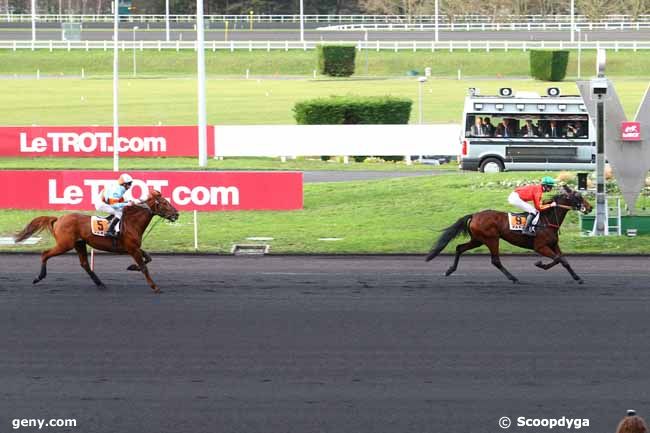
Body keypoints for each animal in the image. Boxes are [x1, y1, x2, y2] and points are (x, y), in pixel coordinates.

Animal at [15, 189, 177, 294]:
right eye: (164, 203)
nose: (176, 214)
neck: (132, 222)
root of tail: (58, 219)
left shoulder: (133, 247)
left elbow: (148, 258)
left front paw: (132, 267)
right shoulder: (132, 249)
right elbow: (144, 267)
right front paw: (155, 287)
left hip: (79, 244)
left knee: (85, 264)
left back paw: (100, 283)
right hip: (65, 244)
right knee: (45, 254)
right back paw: (38, 277)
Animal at [426, 186, 592, 284]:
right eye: (578, 196)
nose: (589, 208)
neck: (547, 220)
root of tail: (474, 215)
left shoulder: (553, 244)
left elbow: (564, 261)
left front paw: (578, 278)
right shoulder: (540, 247)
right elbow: (558, 259)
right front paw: (540, 264)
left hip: (478, 240)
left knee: (459, 248)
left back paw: (450, 270)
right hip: (491, 239)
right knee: (495, 261)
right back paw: (513, 278)